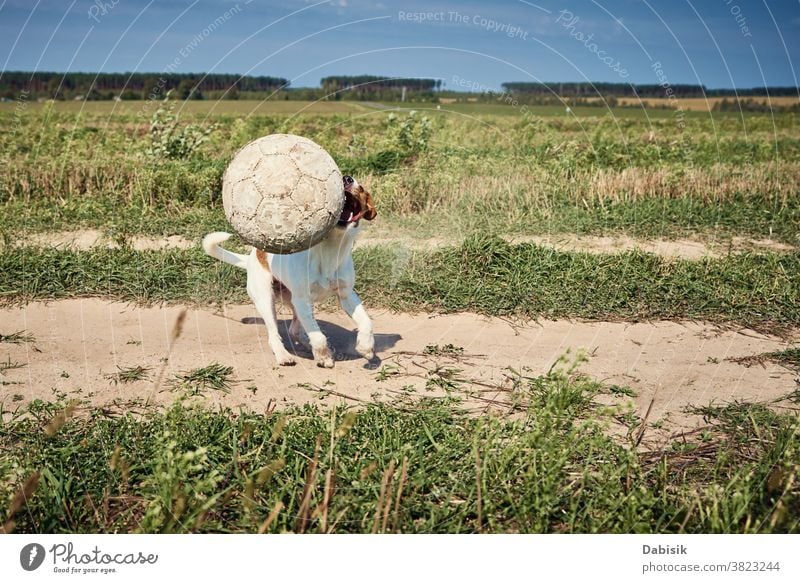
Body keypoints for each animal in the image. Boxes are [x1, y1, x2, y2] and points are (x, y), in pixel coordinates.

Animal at [200, 175, 376, 370]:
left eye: (361, 188)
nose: (346, 179)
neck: (330, 249)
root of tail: (252, 258)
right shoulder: (301, 299)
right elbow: (318, 336)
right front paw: (323, 357)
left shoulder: (346, 295)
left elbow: (366, 322)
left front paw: (365, 347)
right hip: (267, 300)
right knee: (274, 335)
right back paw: (284, 355)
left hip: (297, 303)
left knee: (295, 330)